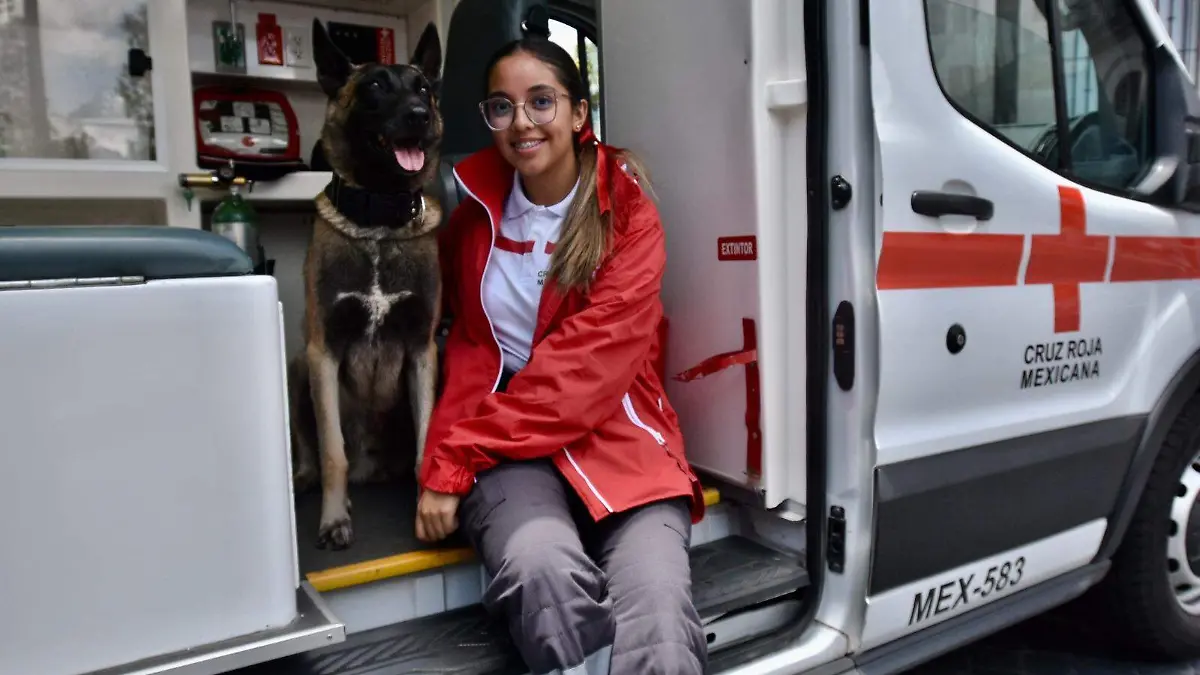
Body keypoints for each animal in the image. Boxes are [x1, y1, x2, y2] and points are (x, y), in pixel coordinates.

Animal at [289, 19, 446, 547]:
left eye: (424, 88)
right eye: (376, 86)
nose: (421, 115)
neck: (379, 221)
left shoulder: (422, 350)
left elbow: (426, 441)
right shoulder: (323, 352)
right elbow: (332, 450)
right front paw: (334, 518)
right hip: (298, 367)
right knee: (316, 451)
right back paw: (304, 478)